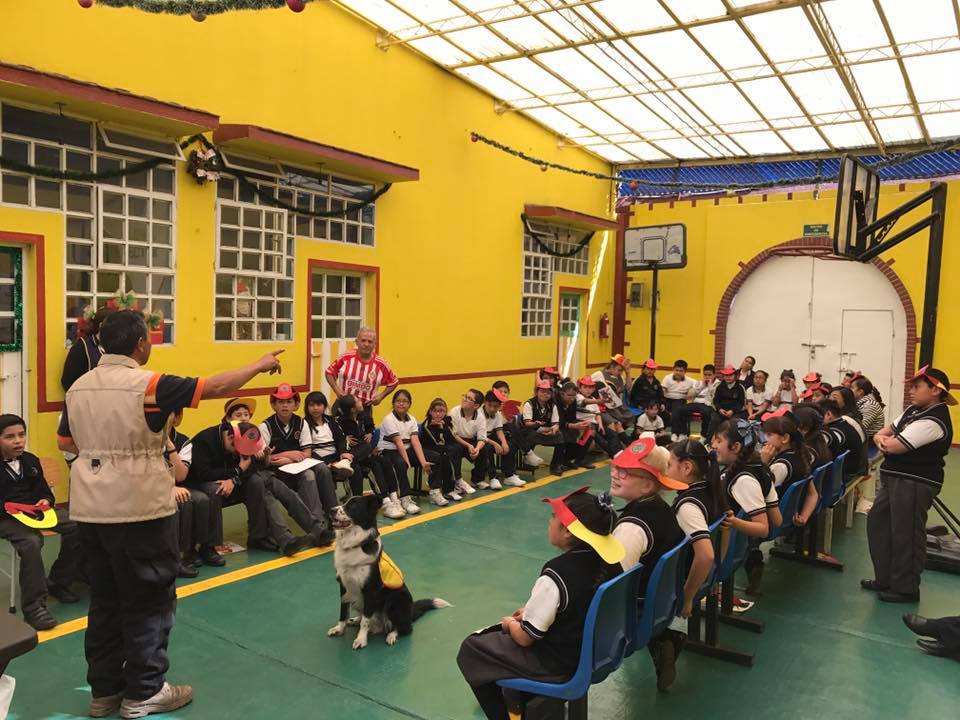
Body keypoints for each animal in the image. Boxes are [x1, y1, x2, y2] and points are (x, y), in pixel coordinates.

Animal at [328, 492, 452, 648]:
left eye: (353, 506)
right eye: (343, 503)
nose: (331, 510)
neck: (357, 544)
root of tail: (410, 612)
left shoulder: (371, 589)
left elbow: (366, 621)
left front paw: (361, 639)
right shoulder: (344, 586)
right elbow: (343, 612)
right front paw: (339, 629)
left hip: (396, 599)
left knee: (404, 628)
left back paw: (392, 635)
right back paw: (356, 619)